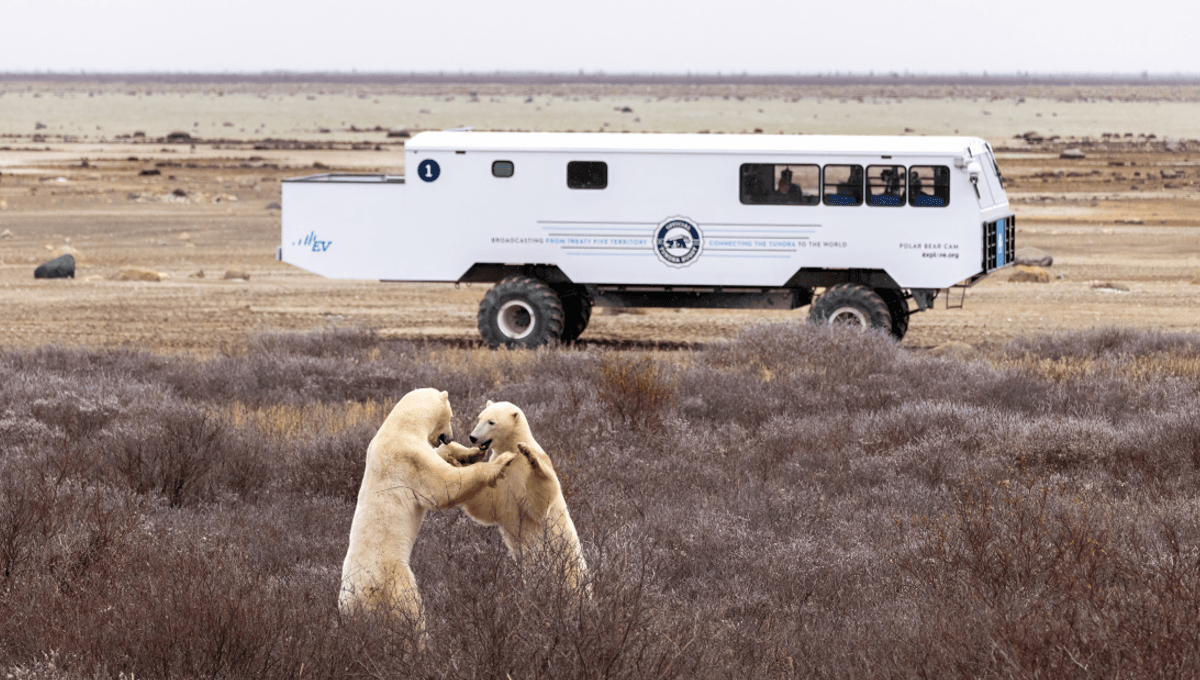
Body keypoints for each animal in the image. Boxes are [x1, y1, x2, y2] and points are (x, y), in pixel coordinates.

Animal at [339, 388, 518, 624]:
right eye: (451, 416)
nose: (450, 436)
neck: (400, 427)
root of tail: (354, 597)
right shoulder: (409, 457)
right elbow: (444, 485)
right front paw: (503, 459)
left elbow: (440, 456)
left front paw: (470, 453)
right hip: (391, 575)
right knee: (409, 607)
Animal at [457, 400, 589, 595]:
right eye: (479, 418)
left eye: (491, 422)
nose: (473, 437)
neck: (511, 450)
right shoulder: (500, 475)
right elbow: (487, 503)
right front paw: (461, 462)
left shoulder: (527, 472)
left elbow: (537, 505)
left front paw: (531, 457)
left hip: (567, 560)